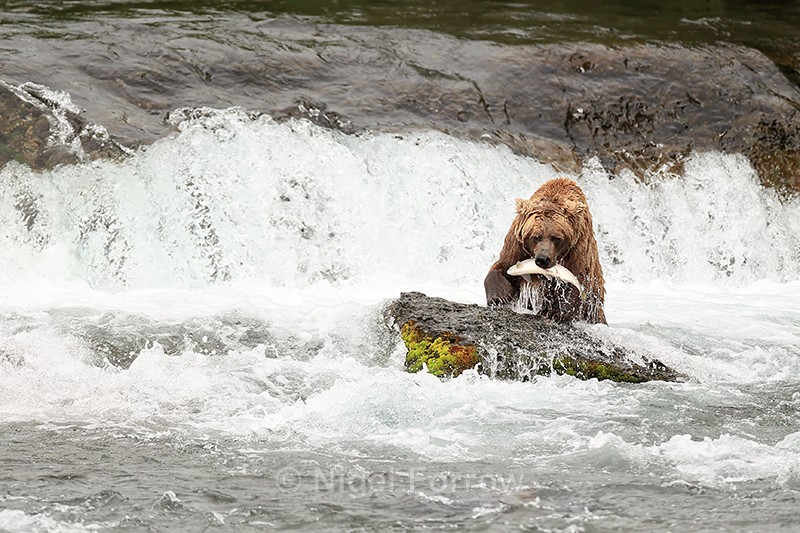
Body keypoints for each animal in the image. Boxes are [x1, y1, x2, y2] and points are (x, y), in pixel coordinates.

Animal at [484, 178, 606, 324]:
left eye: (556, 238)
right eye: (536, 237)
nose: (543, 259)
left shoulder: (578, 249)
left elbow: (576, 281)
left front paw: (557, 313)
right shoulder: (516, 245)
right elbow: (503, 265)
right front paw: (500, 296)